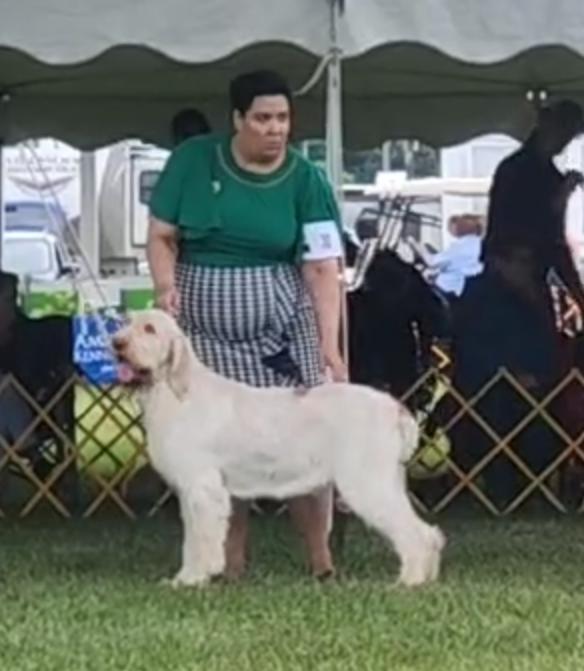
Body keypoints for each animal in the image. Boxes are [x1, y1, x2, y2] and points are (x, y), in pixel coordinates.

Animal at [112, 309, 445, 588]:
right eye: (126, 322)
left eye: (150, 329)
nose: (116, 343)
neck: (176, 391)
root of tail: (395, 408)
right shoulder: (191, 492)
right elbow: (191, 541)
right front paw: (184, 579)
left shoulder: (202, 488)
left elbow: (201, 540)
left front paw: (195, 579)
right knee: (427, 532)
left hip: (368, 484)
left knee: (416, 534)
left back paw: (409, 581)